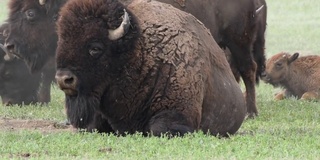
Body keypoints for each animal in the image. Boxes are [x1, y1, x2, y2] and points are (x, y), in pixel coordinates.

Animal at [55, 0, 246, 136]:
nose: (64, 79)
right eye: (61, 42)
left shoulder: (179, 115)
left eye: (95, 48)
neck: (139, 54)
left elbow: (158, 129)